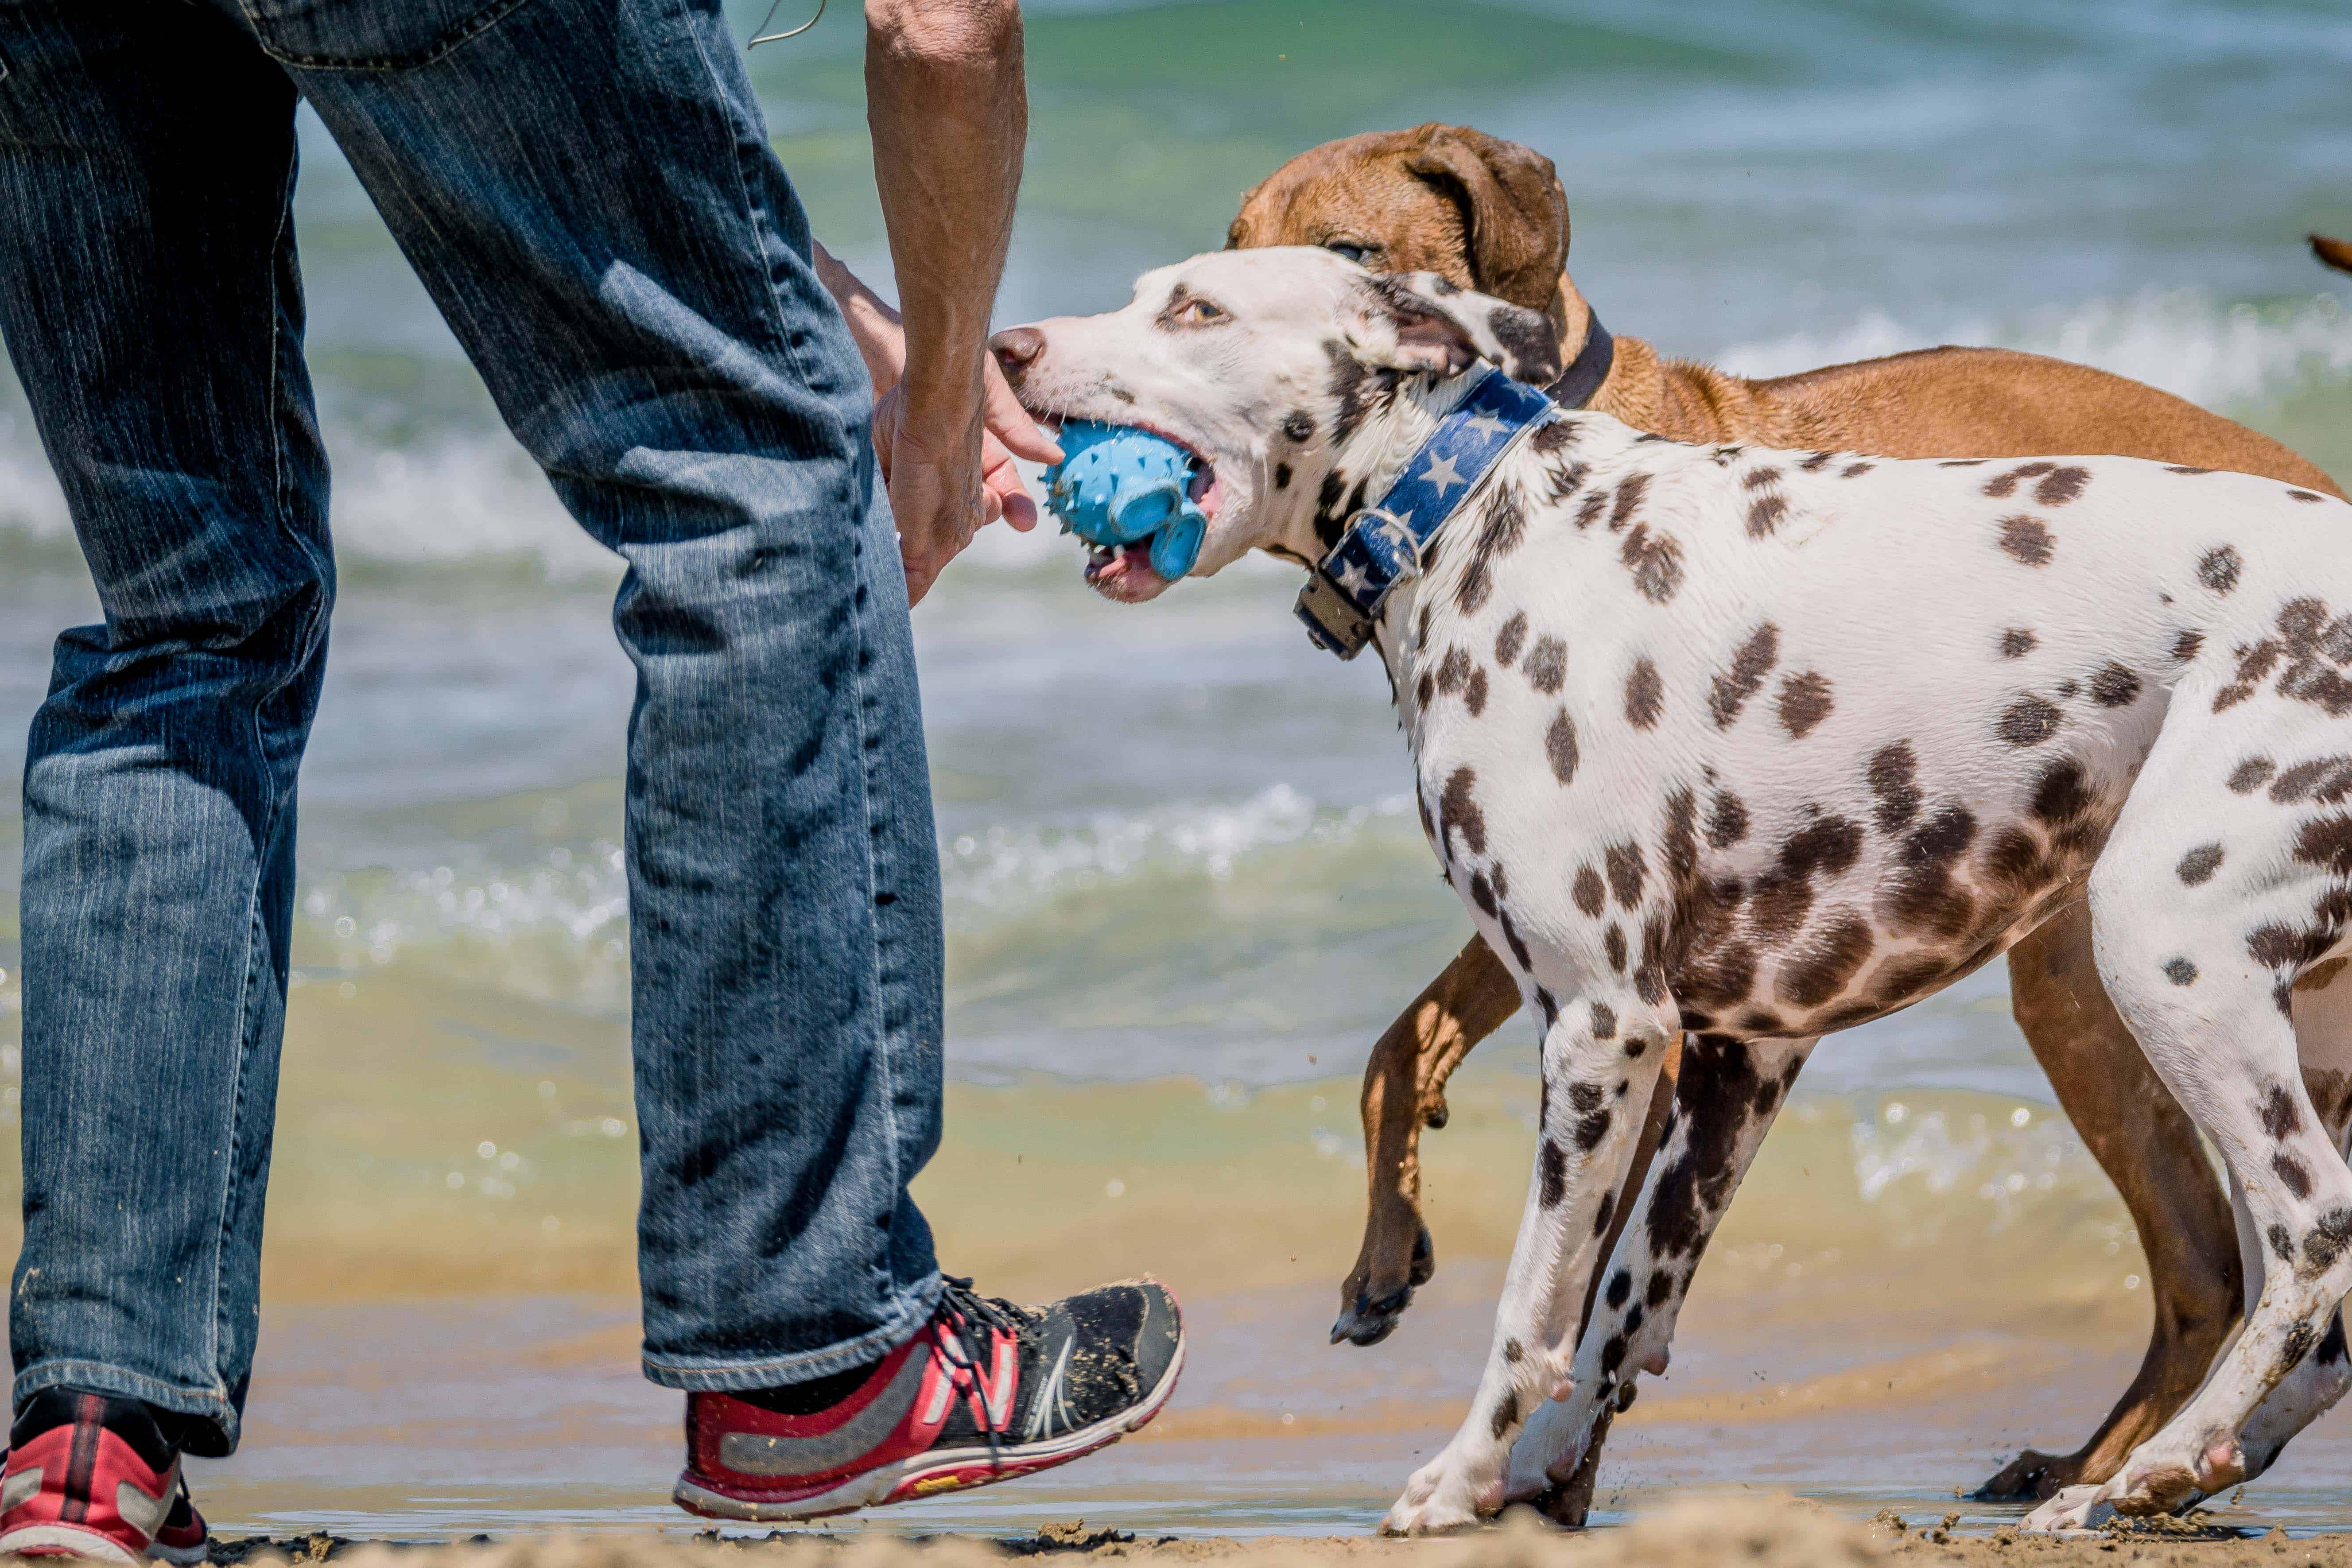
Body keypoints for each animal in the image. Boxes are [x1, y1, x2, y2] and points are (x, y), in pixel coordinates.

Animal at [992, 251, 2352, 1542]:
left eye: (1197, 309)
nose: (1006, 346)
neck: (1478, 513)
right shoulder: (1738, 1056)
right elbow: (1618, 1305)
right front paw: (1534, 1476)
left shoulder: (1603, 1029)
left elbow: (1534, 1302)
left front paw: (1460, 1475)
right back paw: (2181, 1467)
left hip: (2164, 956)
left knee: (2311, 1227)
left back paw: (2157, 1461)